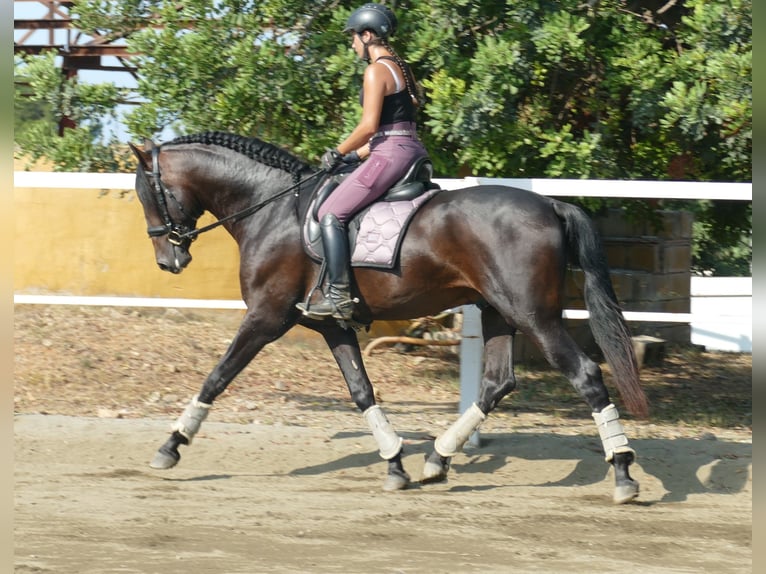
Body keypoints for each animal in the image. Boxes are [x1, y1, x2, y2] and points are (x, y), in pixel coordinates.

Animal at [130, 130, 648, 504]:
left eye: (148, 195)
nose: (167, 260)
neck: (272, 208)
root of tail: (550, 203)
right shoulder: (331, 325)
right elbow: (362, 391)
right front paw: (396, 464)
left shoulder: (266, 317)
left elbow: (216, 377)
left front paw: (171, 446)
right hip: (498, 311)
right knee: (497, 382)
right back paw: (437, 459)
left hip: (534, 316)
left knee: (585, 374)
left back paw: (623, 471)